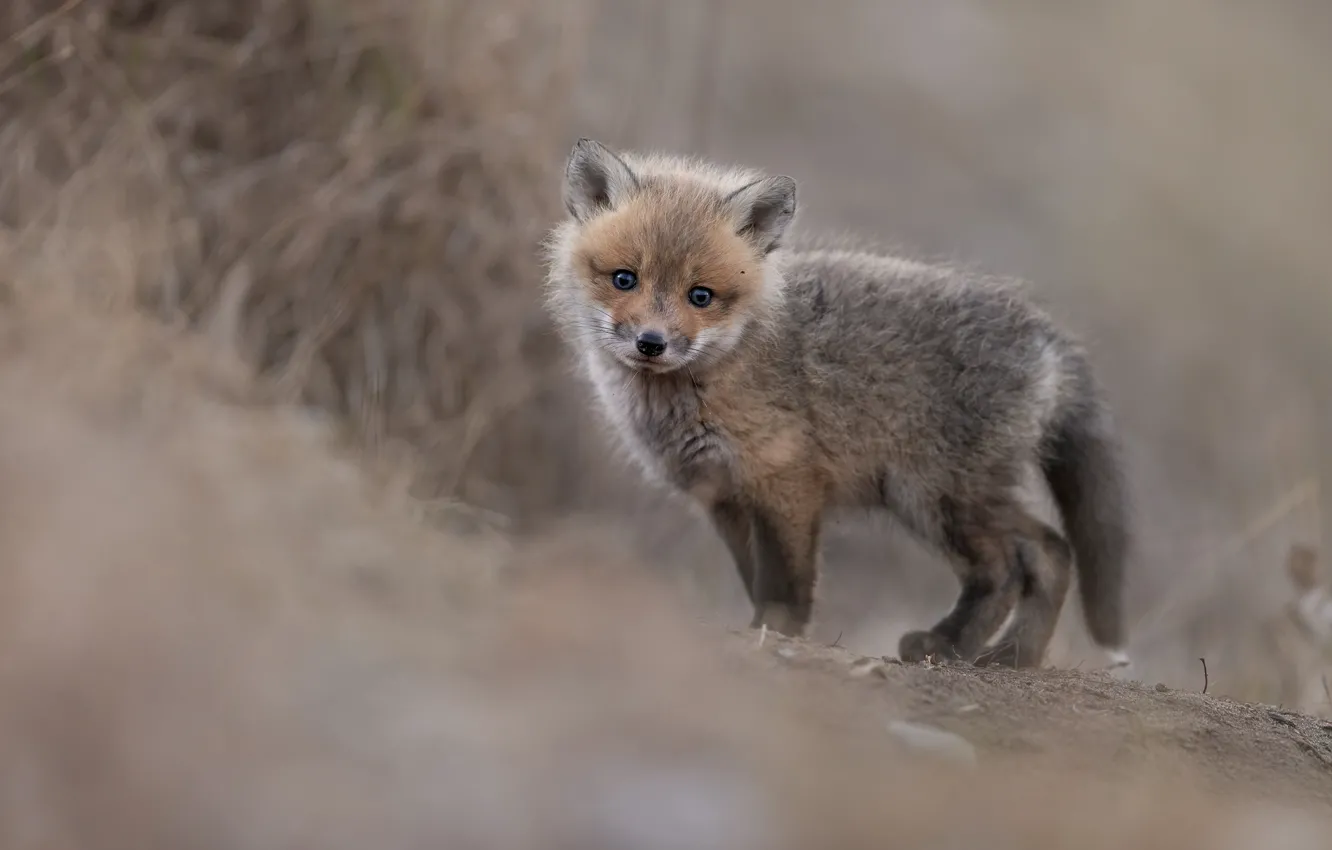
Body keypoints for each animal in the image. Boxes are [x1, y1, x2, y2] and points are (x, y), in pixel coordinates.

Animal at [542, 138, 1132, 670]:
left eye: (700, 296)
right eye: (625, 279)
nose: (651, 343)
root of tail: (1042, 329)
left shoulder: (787, 483)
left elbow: (784, 584)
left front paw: (775, 635)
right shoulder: (722, 495)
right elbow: (753, 576)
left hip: (935, 497)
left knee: (1010, 567)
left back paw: (950, 646)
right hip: (956, 497)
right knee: (1052, 553)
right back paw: (1015, 656)